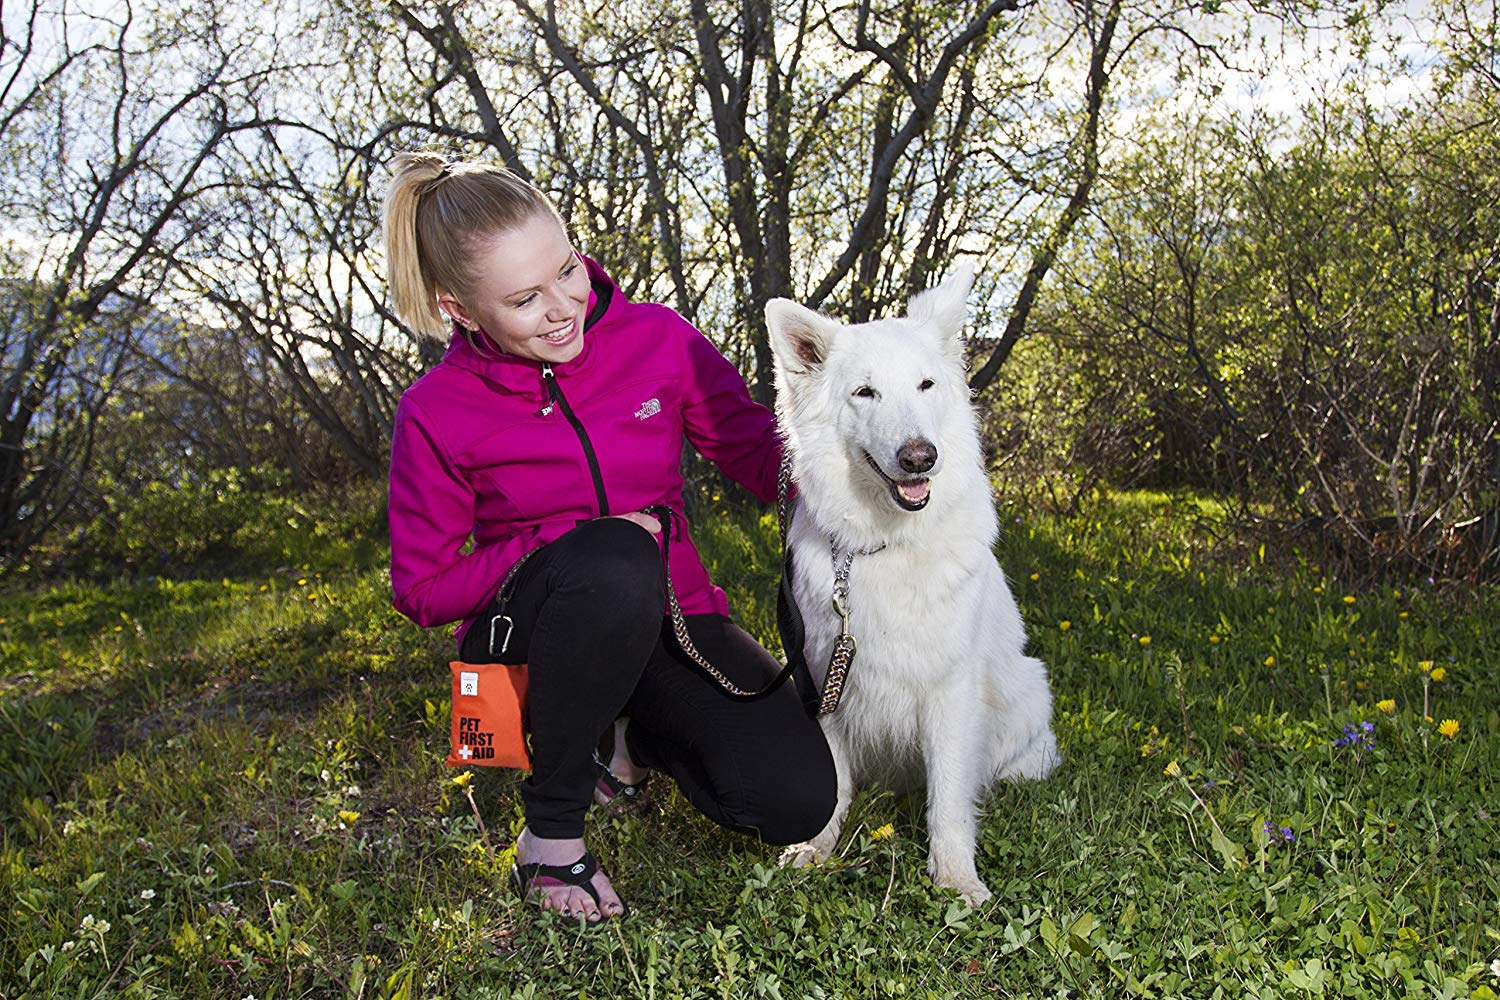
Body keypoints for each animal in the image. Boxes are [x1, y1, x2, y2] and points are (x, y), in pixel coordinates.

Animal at [768, 265, 1062, 905]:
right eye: (865, 392)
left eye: (926, 384)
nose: (919, 457)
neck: (887, 546)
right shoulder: (824, 679)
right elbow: (832, 783)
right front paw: (816, 847)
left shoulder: (950, 691)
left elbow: (948, 796)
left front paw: (955, 878)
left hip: (1029, 689)